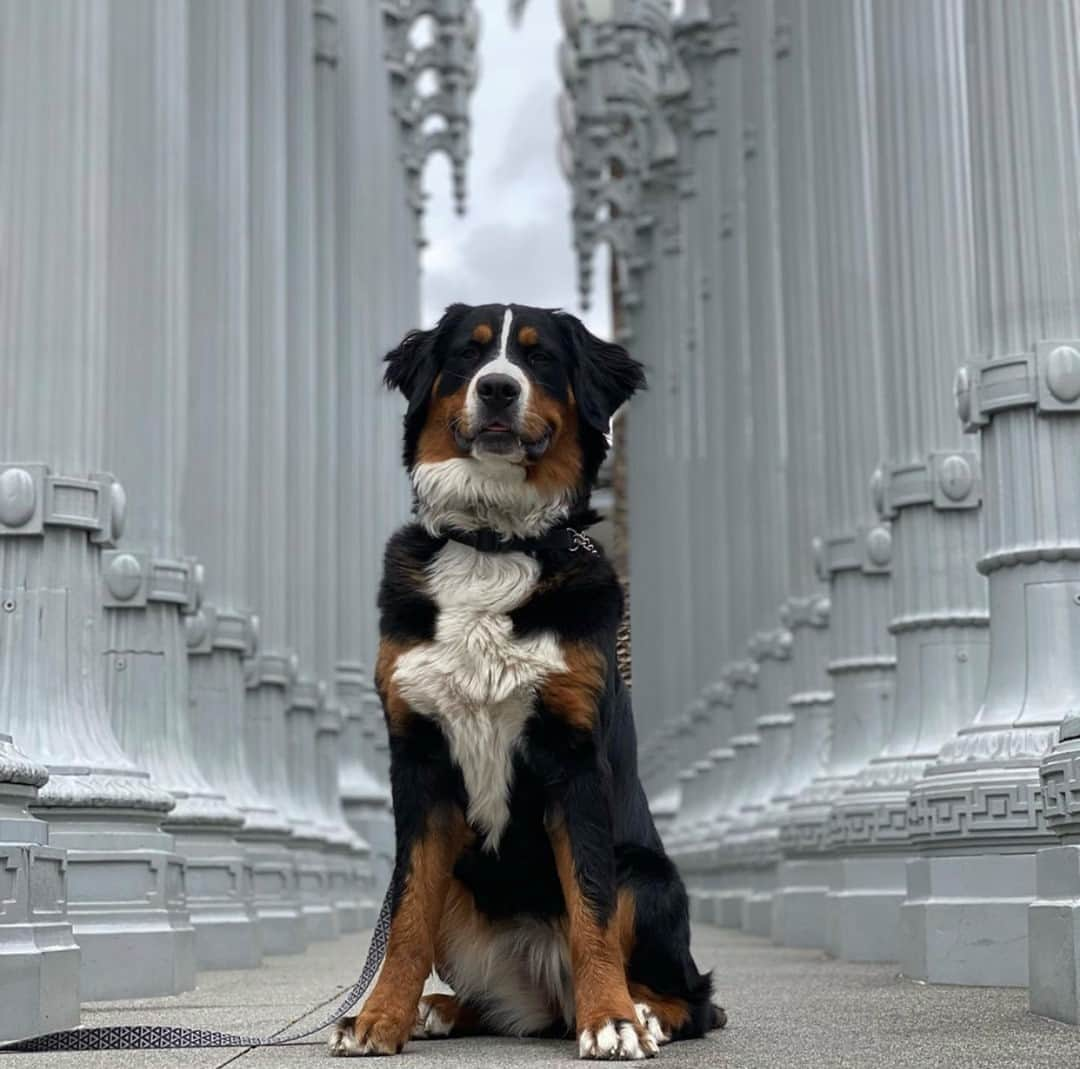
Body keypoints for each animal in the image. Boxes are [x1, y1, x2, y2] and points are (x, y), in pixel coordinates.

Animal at [324, 302, 721, 1062]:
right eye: (468, 354)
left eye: (539, 359)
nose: (498, 388)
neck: (491, 544)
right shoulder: (419, 757)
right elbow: (406, 910)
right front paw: (379, 1016)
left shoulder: (575, 759)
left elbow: (591, 904)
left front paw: (613, 1020)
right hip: (466, 888)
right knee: (505, 1004)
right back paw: (441, 1009)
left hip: (646, 872)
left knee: (694, 997)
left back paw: (641, 1011)